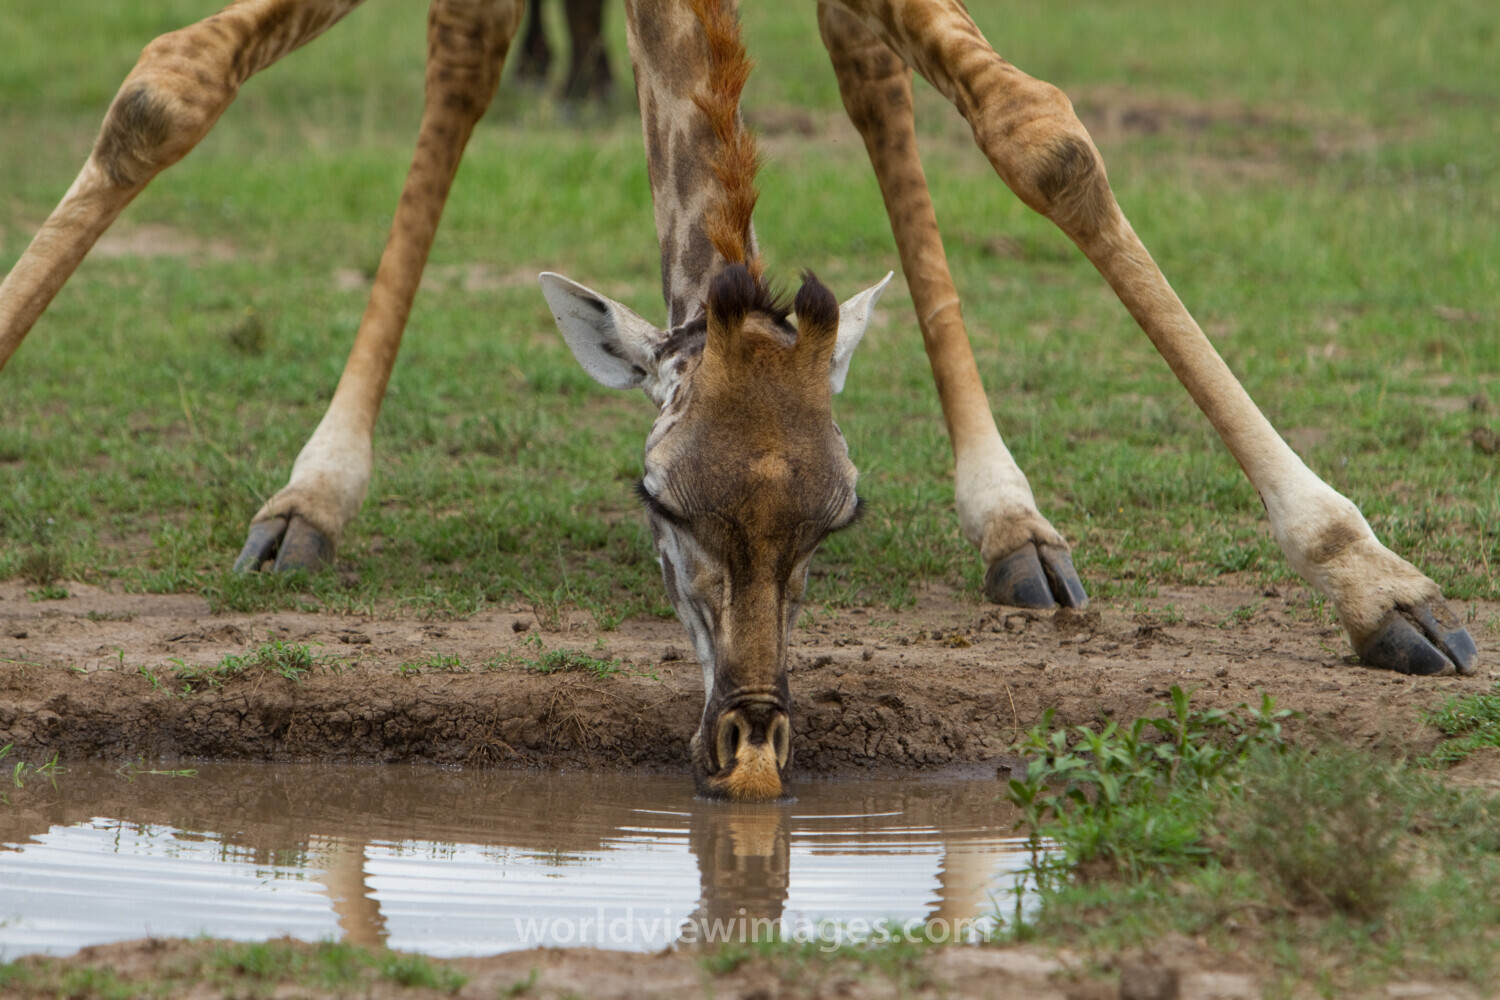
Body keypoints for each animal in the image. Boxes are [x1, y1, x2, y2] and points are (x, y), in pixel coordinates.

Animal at [0, 2, 1478, 799]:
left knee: (869, 71)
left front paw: (1376, 582)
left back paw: (1015, 519)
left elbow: (1047, 140)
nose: (751, 739)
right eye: (658, 503)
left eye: (841, 519)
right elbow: (166, 87)